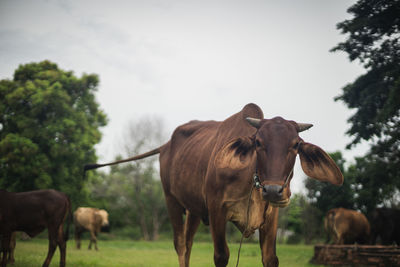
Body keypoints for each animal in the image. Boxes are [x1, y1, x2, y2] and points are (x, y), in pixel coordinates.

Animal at [85, 103, 344, 266]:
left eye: (296, 144)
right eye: (258, 142)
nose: (273, 190)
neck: (251, 183)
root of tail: (166, 145)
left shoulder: (271, 217)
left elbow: (270, 259)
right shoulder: (217, 210)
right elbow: (221, 256)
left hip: (194, 210)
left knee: (188, 244)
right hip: (171, 200)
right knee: (180, 244)